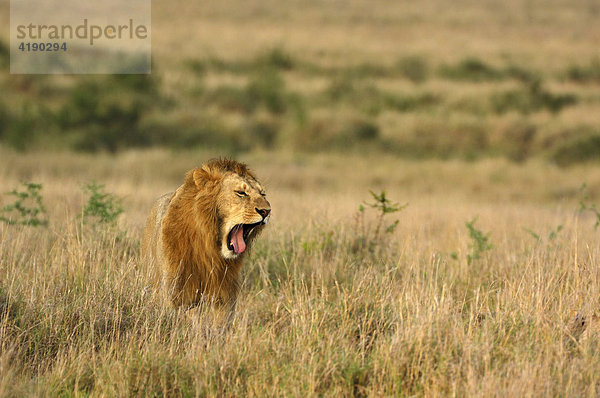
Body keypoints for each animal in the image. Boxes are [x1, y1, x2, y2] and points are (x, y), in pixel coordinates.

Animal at [142, 159, 270, 310]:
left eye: (263, 194)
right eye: (241, 193)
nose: (267, 211)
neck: (210, 246)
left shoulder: (223, 296)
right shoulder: (173, 289)